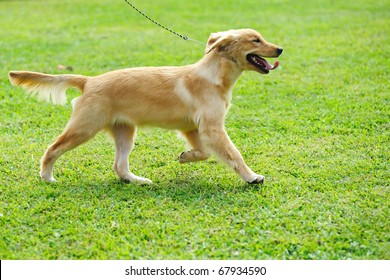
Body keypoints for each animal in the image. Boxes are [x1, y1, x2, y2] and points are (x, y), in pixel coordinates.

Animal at [8, 29, 284, 184]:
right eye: (256, 40)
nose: (280, 48)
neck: (214, 75)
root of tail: (89, 81)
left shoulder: (193, 129)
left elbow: (204, 153)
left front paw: (186, 156)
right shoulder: (212, 128)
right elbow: (233, 155)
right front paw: (252, 177)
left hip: (124, 131)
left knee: (119, 166)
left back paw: (136, 180)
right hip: (84, 128)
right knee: (52, 148)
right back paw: (46, 176)